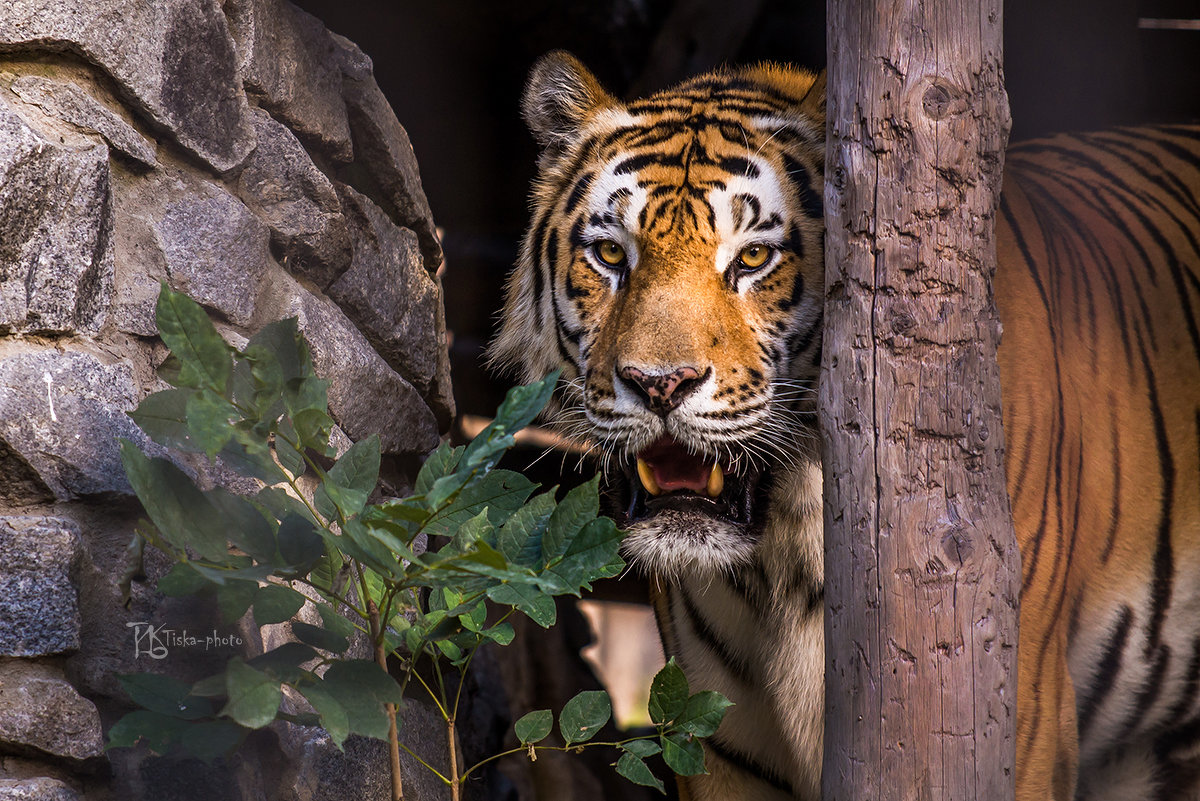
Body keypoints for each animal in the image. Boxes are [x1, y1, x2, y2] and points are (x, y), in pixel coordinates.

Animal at [487, 51, 1200, 801]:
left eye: (752, 259)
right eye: (611, 256)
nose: (660, 383)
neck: (783, 562)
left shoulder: (1021, 715)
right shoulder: (719, 748)